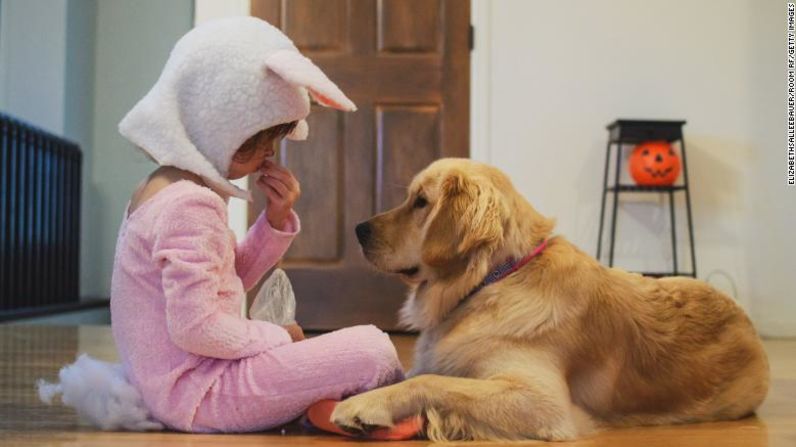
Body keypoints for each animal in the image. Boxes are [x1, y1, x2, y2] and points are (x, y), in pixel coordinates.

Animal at [332, 159, 768, 442]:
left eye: (421, 202)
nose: (358, 229)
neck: (493, 280)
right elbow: (412, 372)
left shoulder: (542, 402)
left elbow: (432, 380)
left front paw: (365, 406)